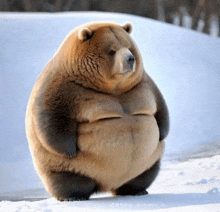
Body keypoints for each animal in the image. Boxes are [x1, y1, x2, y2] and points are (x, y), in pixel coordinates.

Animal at [26, 21, 170, 202]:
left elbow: (159, 106)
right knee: (68, 179)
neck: (114, 88)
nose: (130, 59)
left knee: (145, 173)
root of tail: (109, 184)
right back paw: (74, 195)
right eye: (112, 50)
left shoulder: (141, 83)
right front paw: (69, 149)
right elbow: (50, 114)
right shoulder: (65, 85)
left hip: (147, 160)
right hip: (69, 166)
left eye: (129, 46)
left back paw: (135, 190)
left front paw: (162, 133)